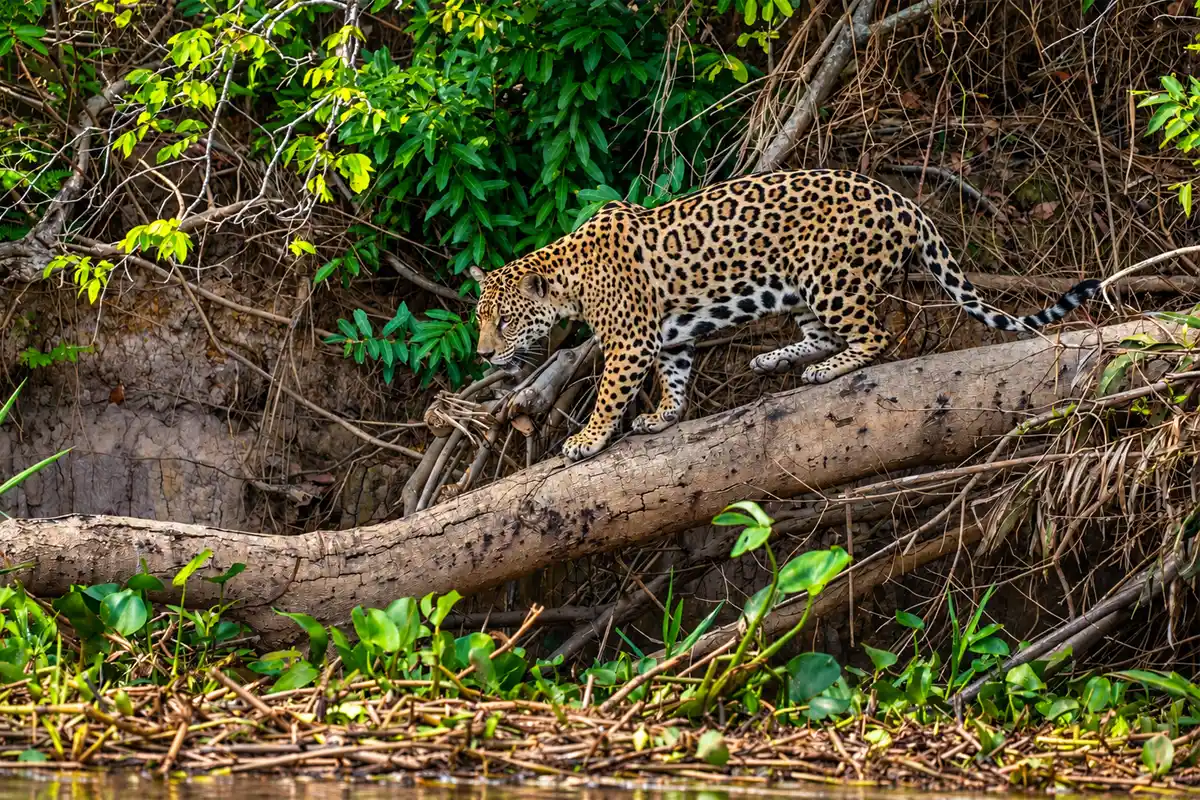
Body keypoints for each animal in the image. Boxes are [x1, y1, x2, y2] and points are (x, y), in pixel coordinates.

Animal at [471, 168, 1101, 464]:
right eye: (481, 320)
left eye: (505, 322)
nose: (482, 354)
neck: (568, 280)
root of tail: (903, 200)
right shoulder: (668, 337)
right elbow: (675, 376)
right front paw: (664, 416)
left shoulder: (629, 343)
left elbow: (608, 393)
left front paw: (588, 439)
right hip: (800, 288)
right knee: (825, 335)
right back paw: (775, 359)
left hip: (831, 278)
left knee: (877, 334)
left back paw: (823, 370)